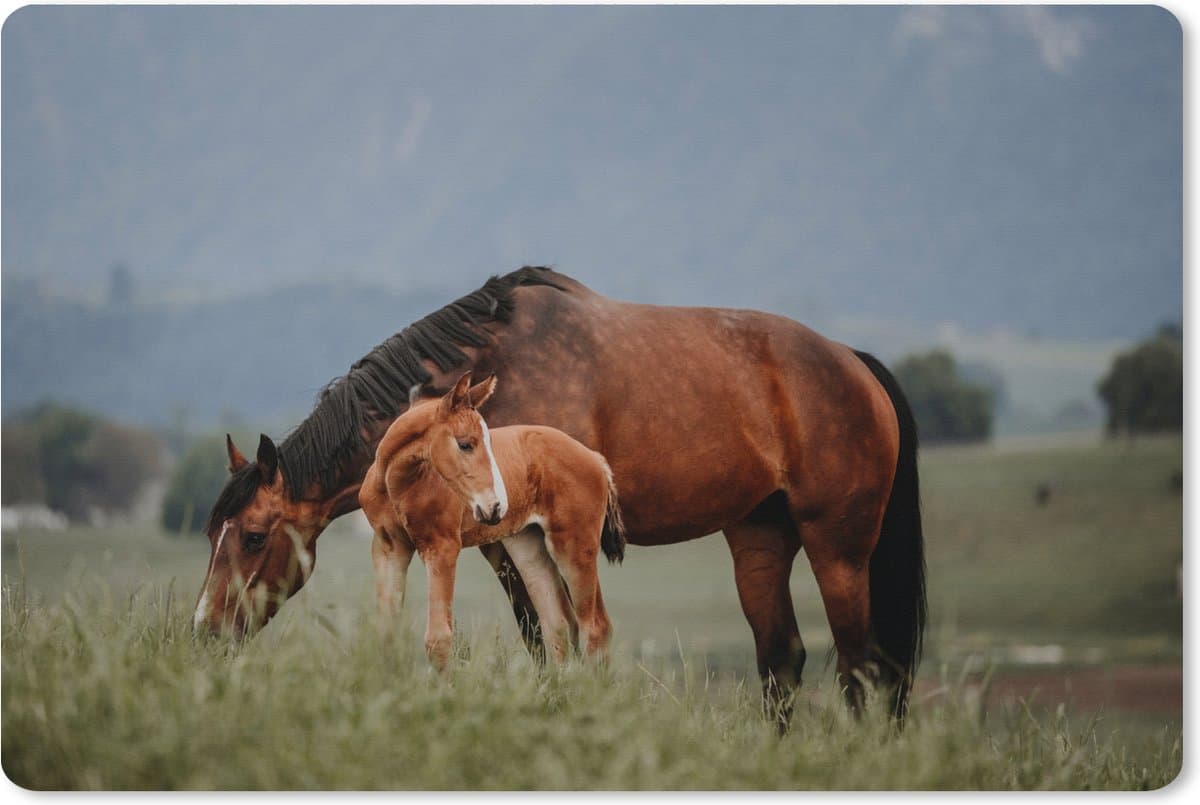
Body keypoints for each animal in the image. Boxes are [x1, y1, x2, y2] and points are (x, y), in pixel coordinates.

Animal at [358, 371, 625, 671]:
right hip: (529, 545)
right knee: (559, 623)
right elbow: (385, 631)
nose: (495, 507)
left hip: (574, 546)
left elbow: (438, 639)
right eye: (465, 444)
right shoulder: (389, 548)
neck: (397, 485)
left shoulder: (441, 548)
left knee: (595, 626)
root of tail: (595, 458)